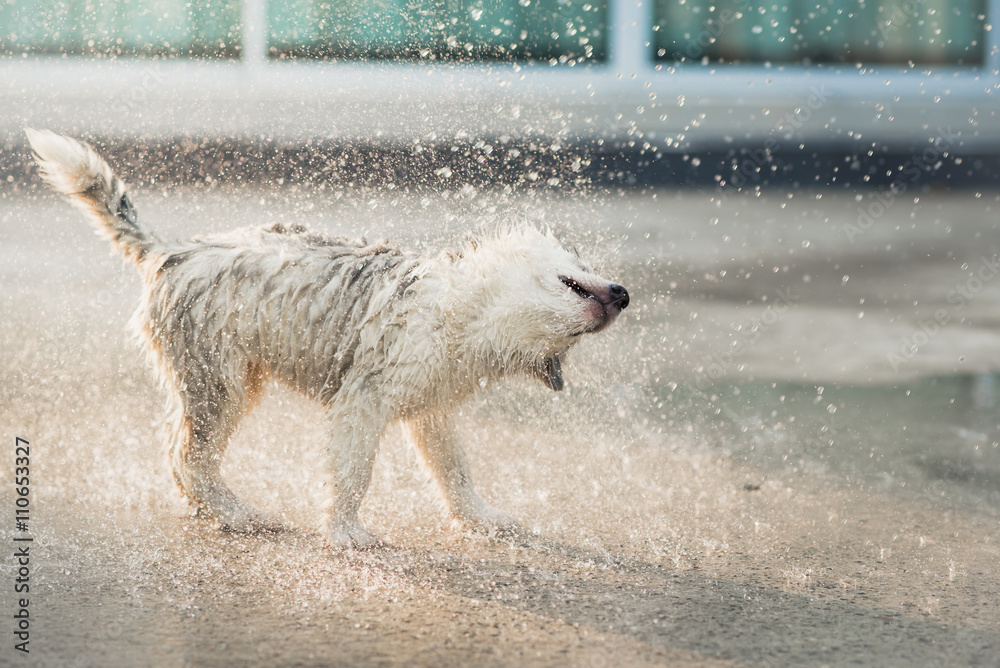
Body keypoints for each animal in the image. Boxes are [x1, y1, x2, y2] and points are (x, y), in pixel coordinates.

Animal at [27, 129, 628, 548]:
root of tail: (170, 252)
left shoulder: (431, 412)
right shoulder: (361, 401)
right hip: (219, 384)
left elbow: (455, 472)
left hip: (228, 381)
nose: (624, 295)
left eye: (570, 344)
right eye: (577, 270)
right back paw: (240, 515)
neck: (465, 314)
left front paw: (482, 519)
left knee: (186, 461)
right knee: (188, 458)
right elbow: (354, 473)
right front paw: (345, 533)